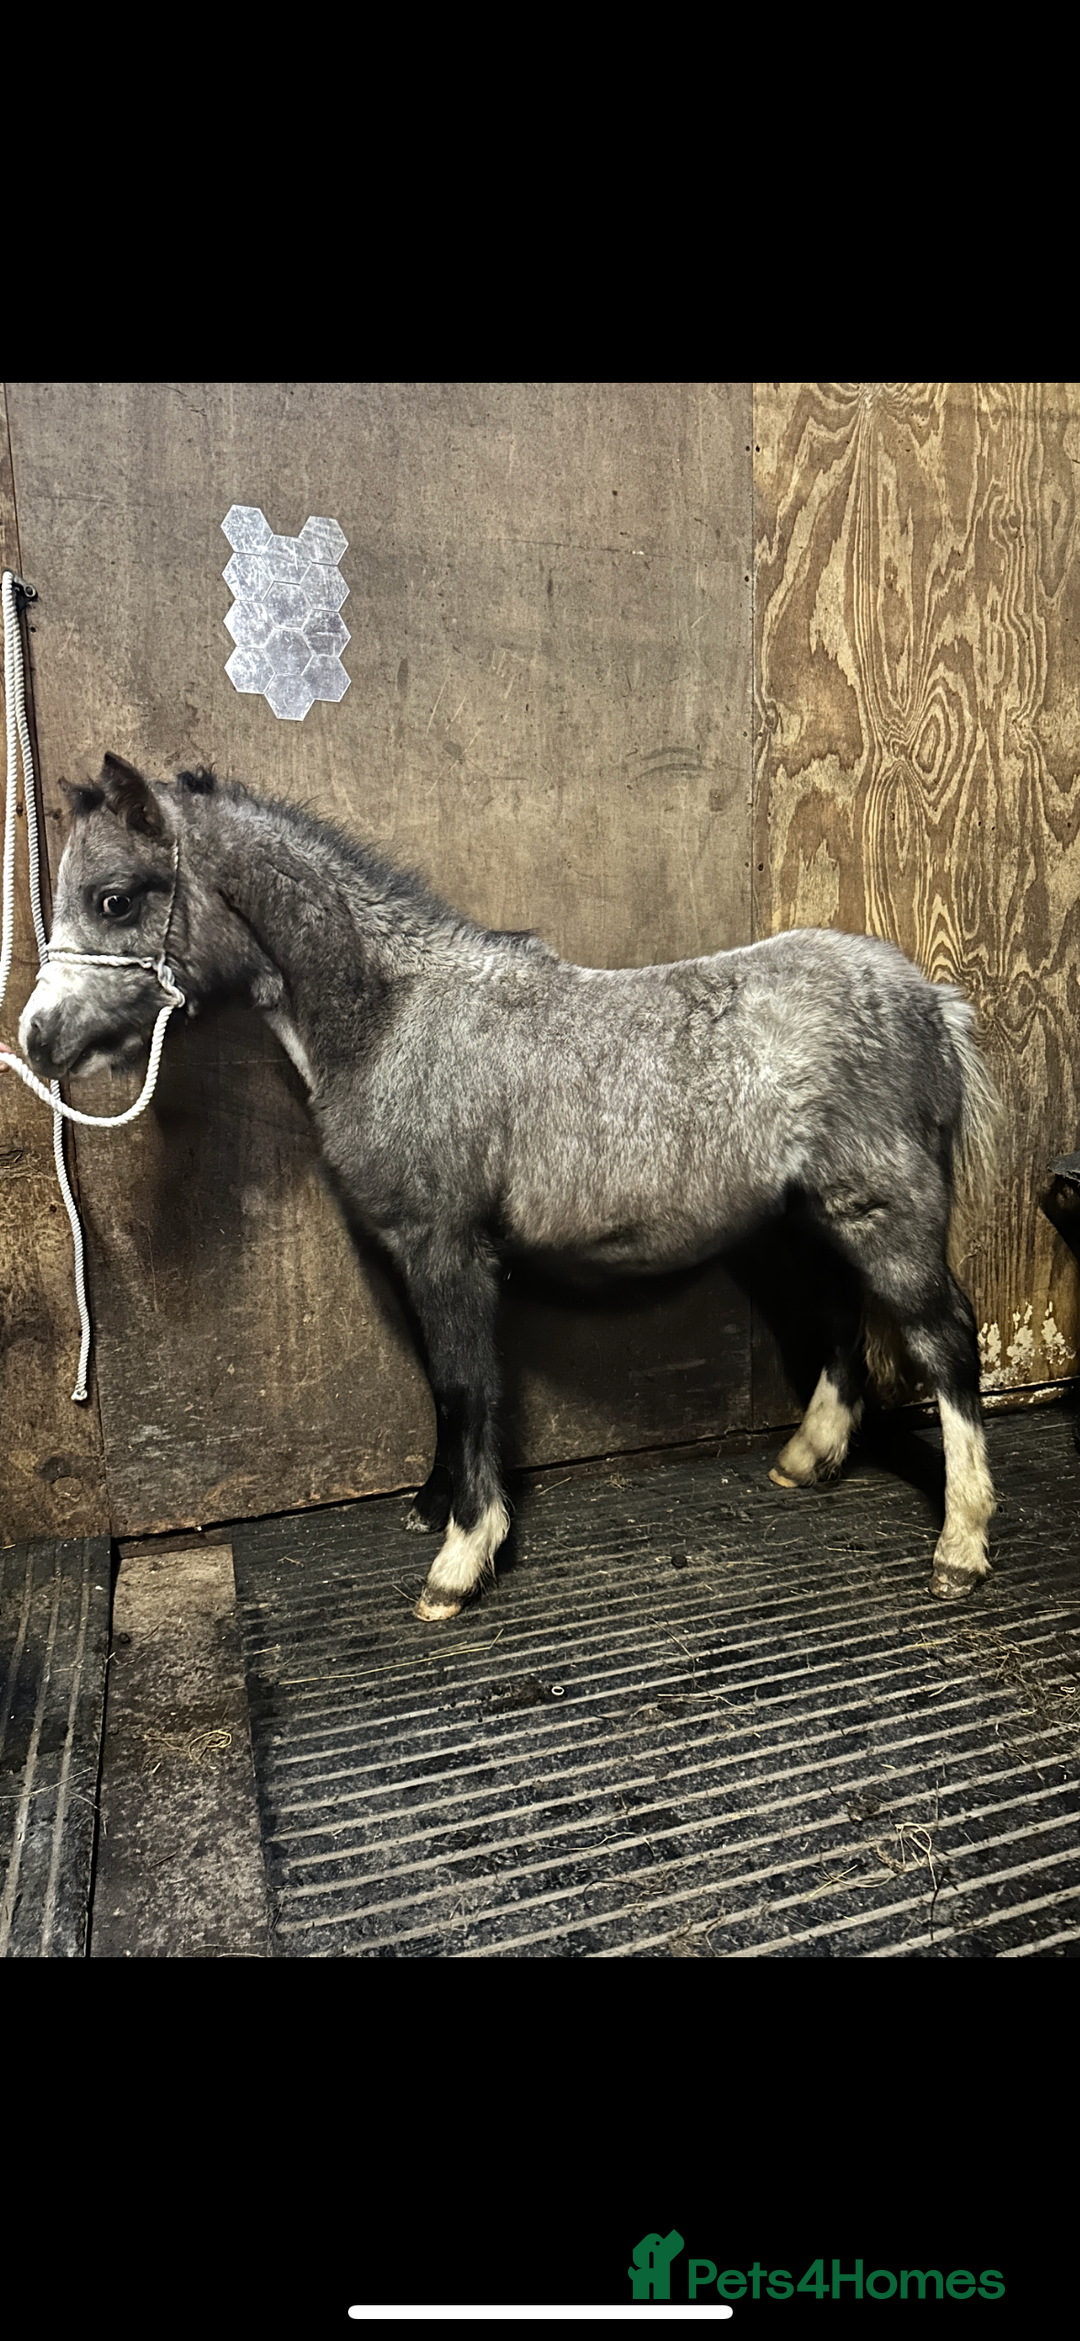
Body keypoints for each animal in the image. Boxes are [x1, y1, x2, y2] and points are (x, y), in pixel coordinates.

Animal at [15, 753, 1001, 1620]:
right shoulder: (411, 1251)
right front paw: (434, 1504)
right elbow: (438, 1379)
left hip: (887, 1211)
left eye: (115, 897)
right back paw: (809, 1457)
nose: (38, 1037)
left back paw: (959, 1545)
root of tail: (931, 1003)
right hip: (811, 1215)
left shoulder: (448, 1245)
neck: (393, 1020)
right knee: (839, 1310)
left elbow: (465, 1382)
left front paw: (461, 1557)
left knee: (946, 1335)